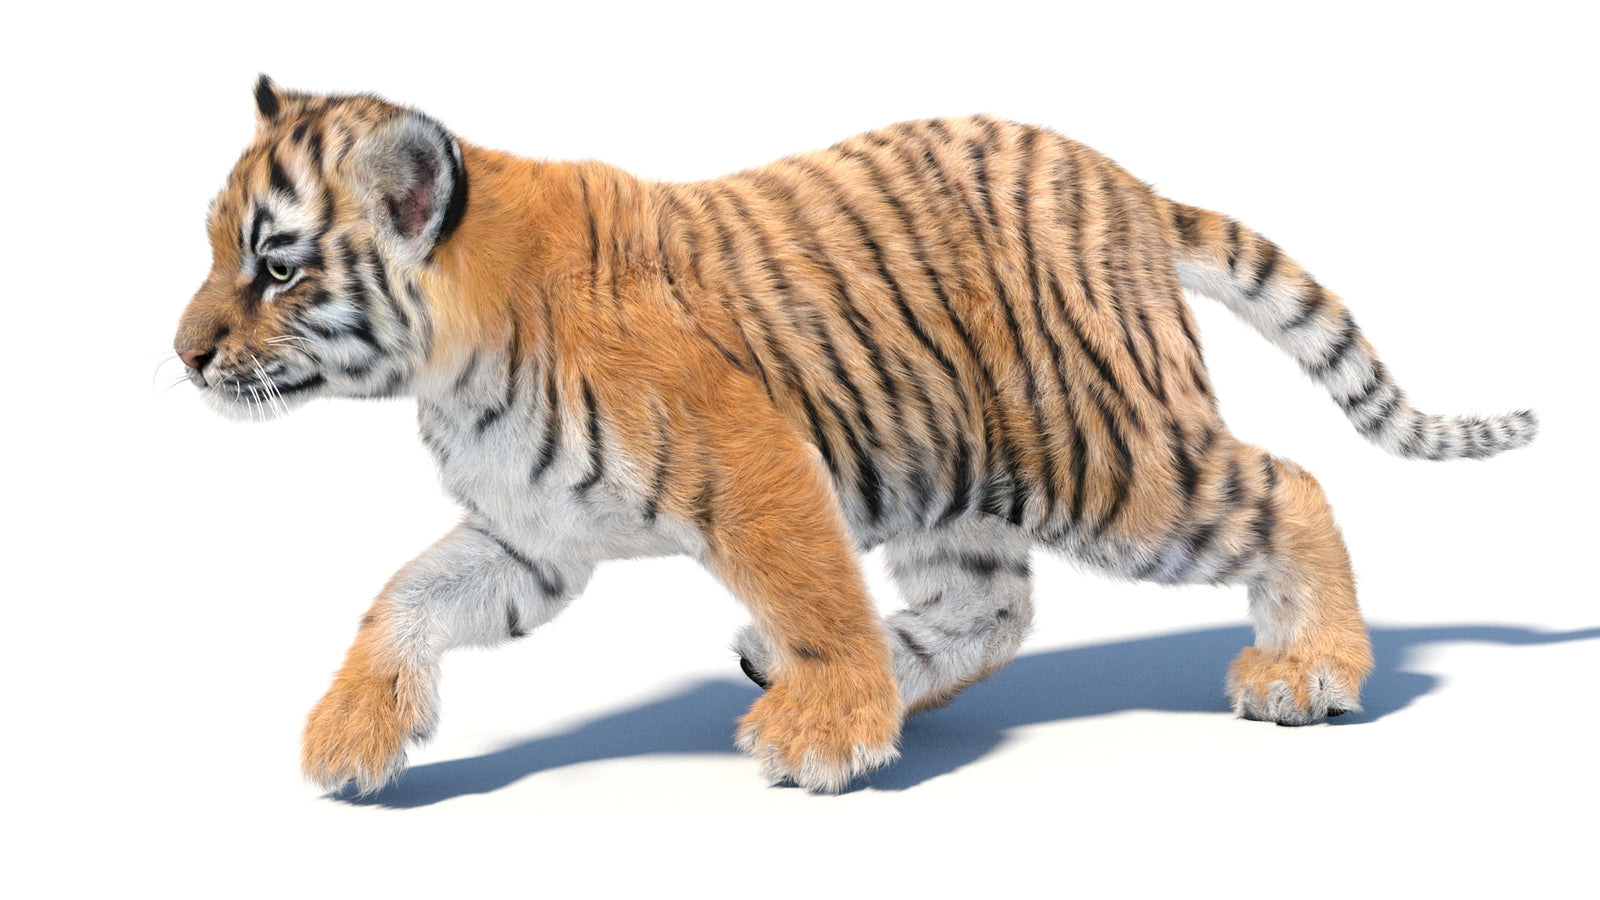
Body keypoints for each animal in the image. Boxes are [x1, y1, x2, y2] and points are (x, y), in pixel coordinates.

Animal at [174, 76, 1537, 795]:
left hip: (1112, 462)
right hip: (964, 482)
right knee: (995, 610)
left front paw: (823, 731)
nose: (183, 353)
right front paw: (350, 736)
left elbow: (811, 586)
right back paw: (827, 668)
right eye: (216, 246)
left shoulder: (752, 457)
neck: (447, 363)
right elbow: (403, 597)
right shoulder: (532, 537)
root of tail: (1120, 185)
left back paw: (1309, 673)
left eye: (276, 265)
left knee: (1289, 486)